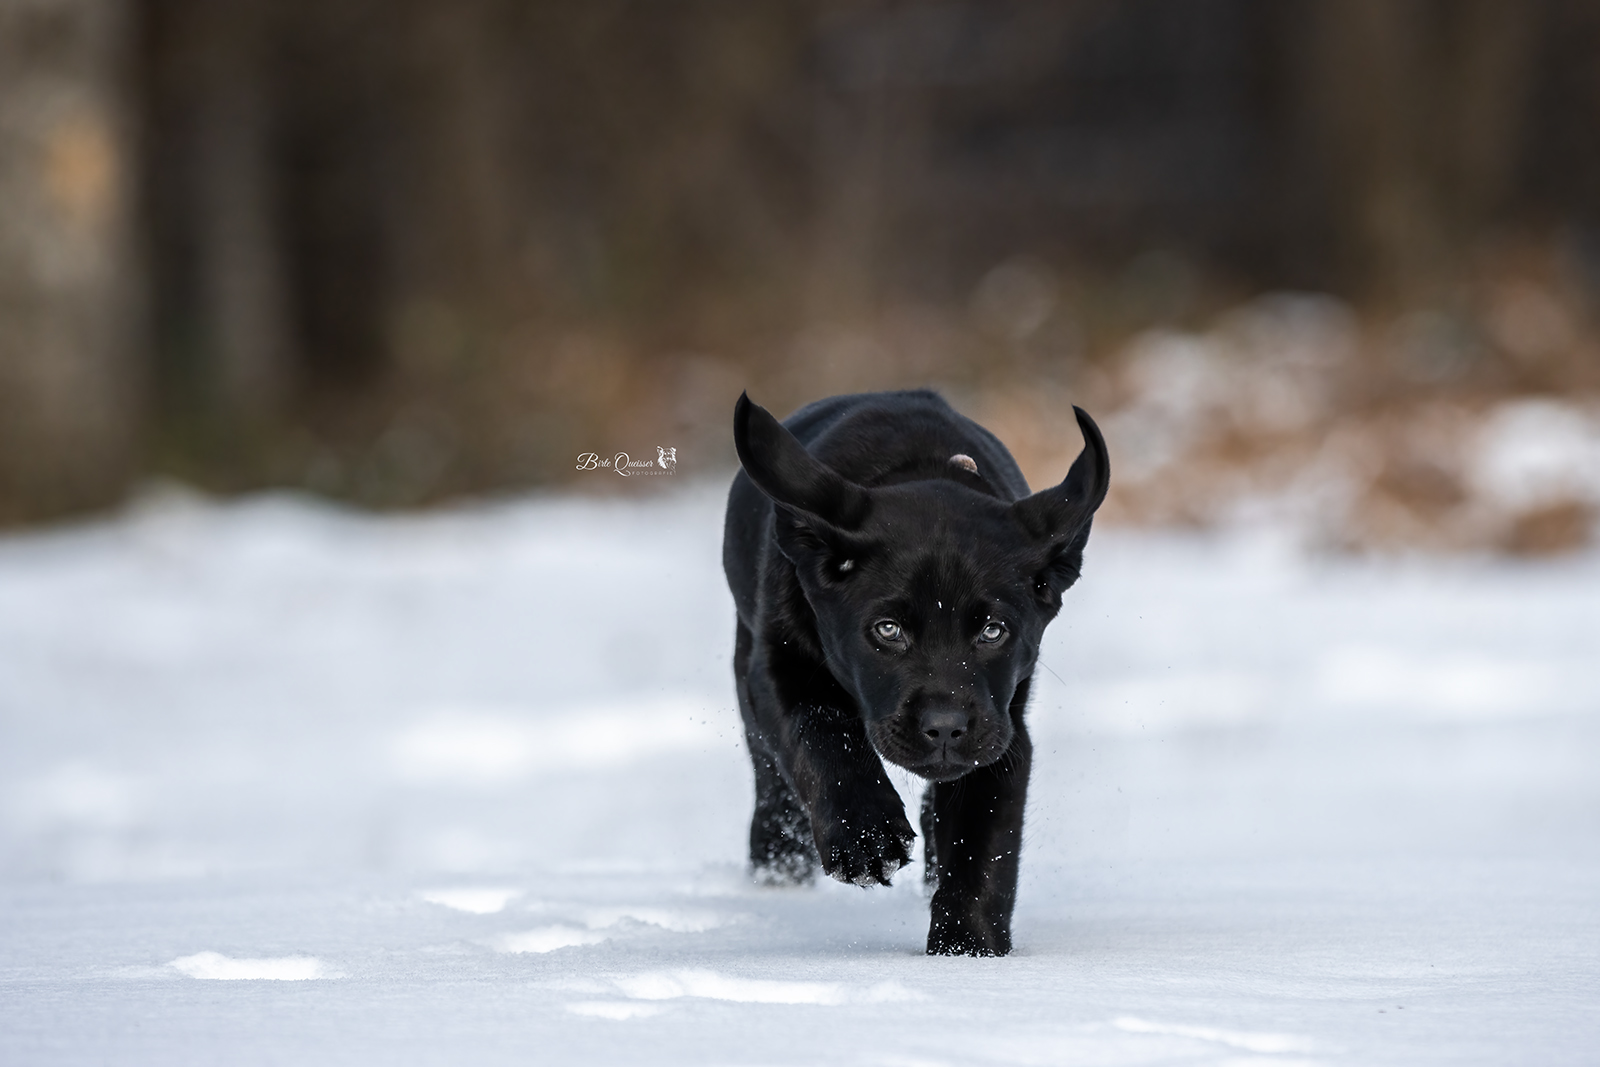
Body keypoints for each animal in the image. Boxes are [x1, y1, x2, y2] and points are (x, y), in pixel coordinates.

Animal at [723, 391, 1107, 959]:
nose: (945, 727)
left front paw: (968, 950)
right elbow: (820, 734)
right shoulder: (778, 667)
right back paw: (777, 875)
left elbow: (983, 845)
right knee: (773, 786)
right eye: (888, 630)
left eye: (993, 631)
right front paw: (866, 837)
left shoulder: (1002, 731)